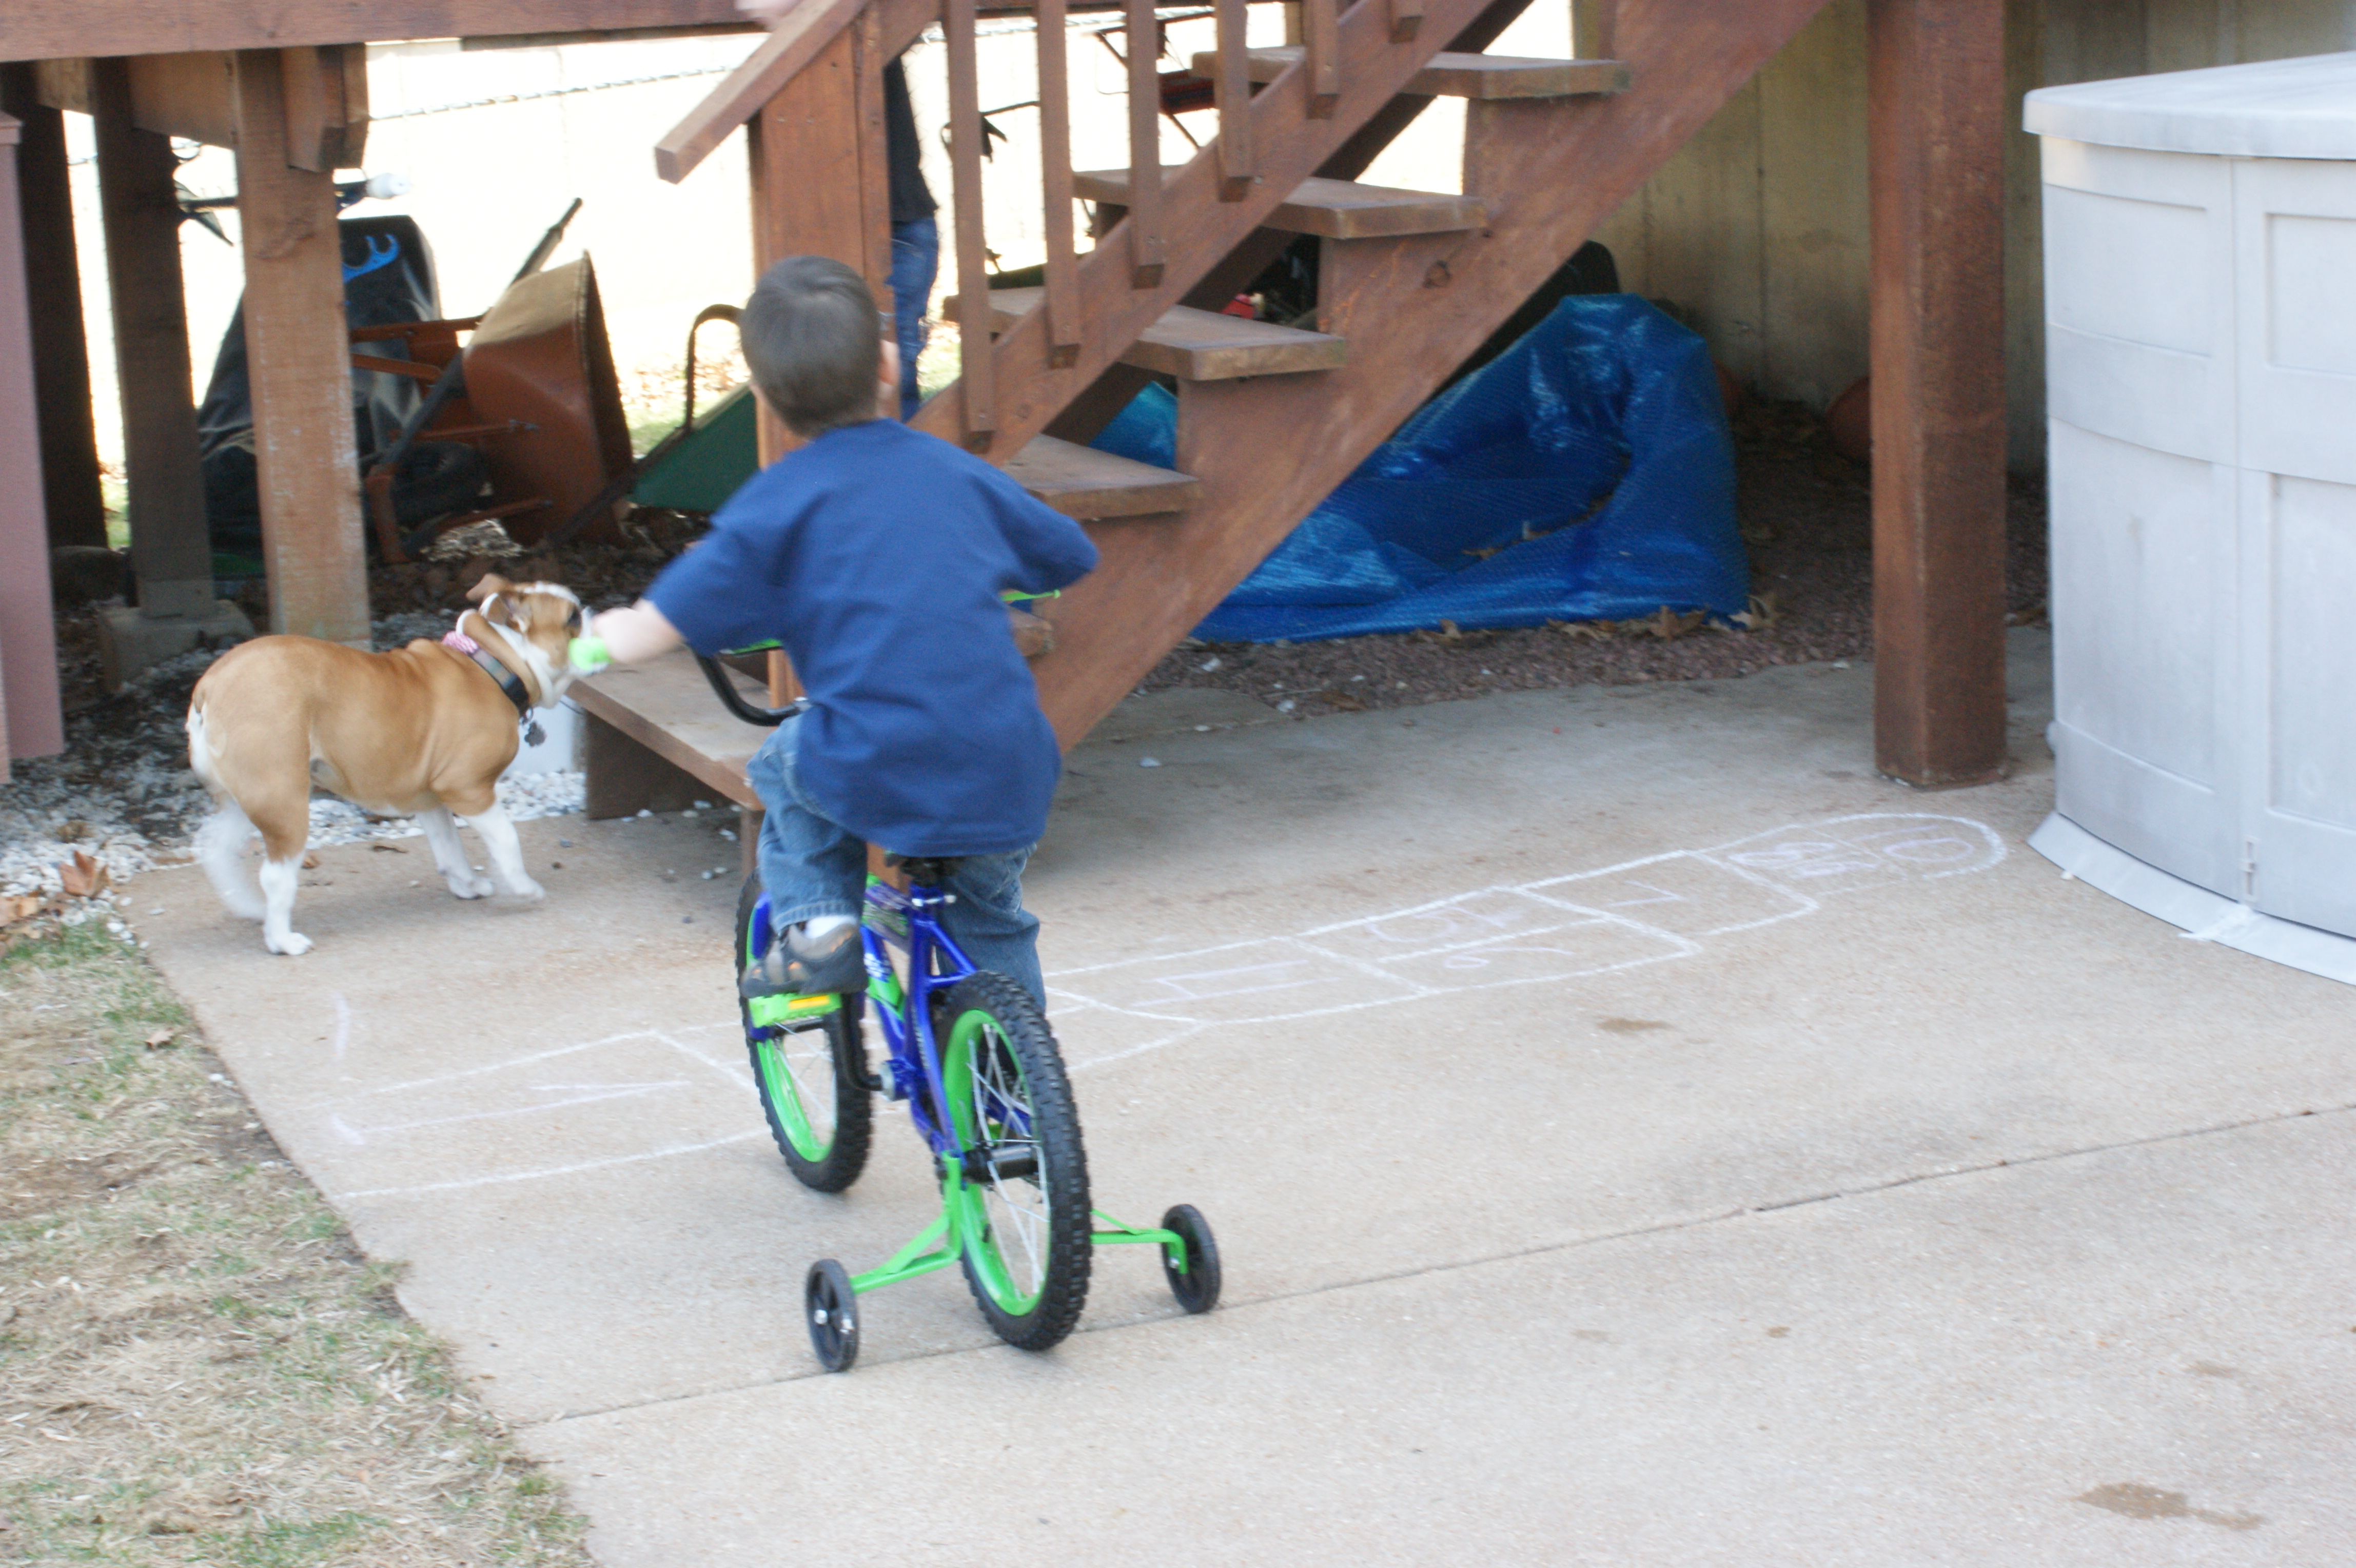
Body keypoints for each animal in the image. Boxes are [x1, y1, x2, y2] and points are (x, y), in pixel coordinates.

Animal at [186, 575, 589, 954]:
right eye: (571, 617)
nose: (590, 611)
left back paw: (251, 908)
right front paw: (524, 888)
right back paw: (283, 940)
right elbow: (506, 839)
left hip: (247, 799)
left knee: (216, 848)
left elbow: (450, 848)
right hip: (283, 800)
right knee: (275, 875)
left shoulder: (430, 798)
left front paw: (467, 884)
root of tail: (210, 686)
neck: (493, 661)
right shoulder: (468, 789)